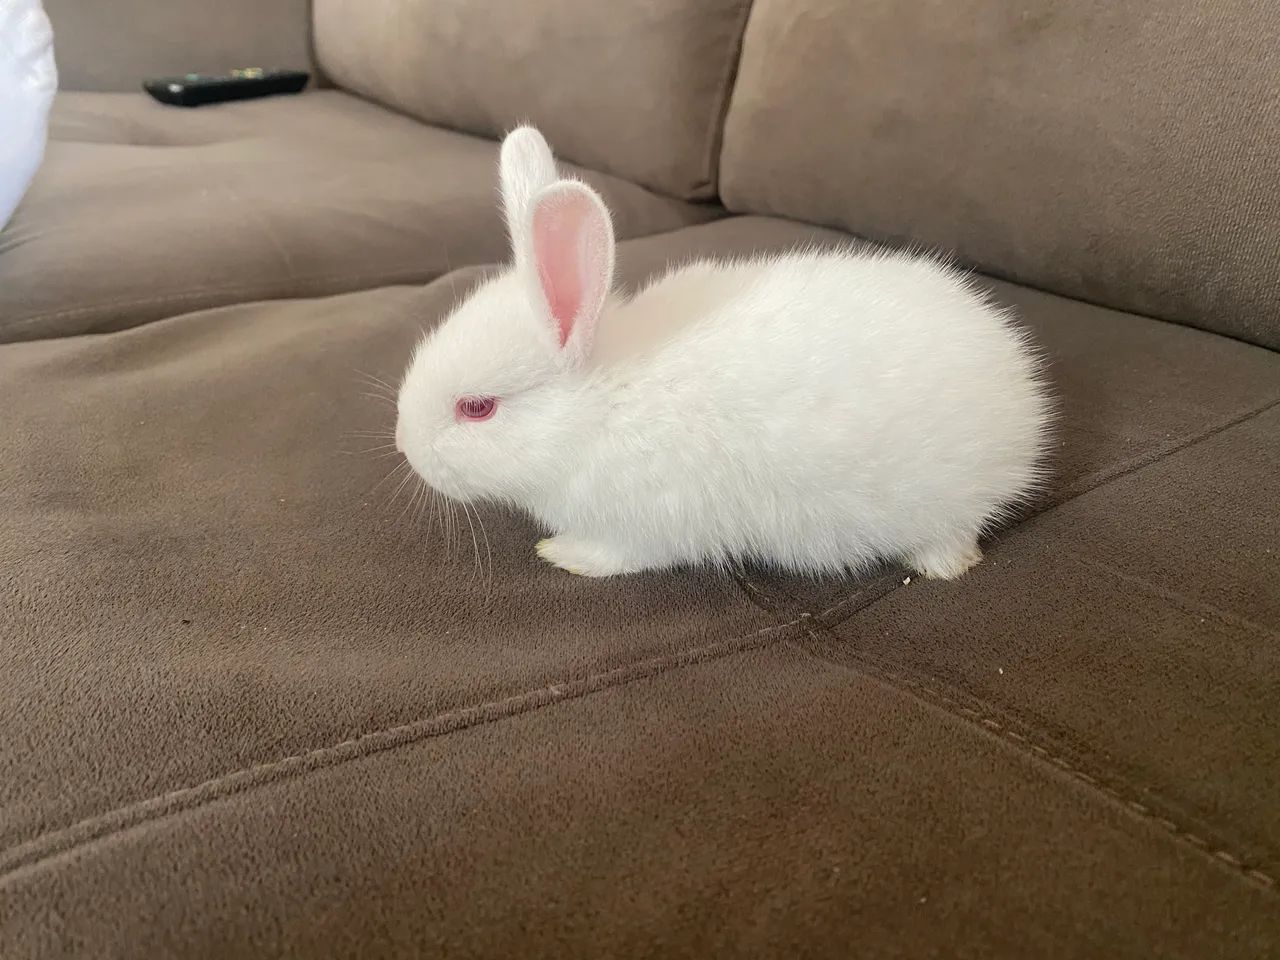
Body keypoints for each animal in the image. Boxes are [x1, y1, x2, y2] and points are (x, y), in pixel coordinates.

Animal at [395, 126, 1053, 580]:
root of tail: (1023, 395)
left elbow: (614, 555)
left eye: (477, 408)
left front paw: (562, 554)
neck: (597, 406)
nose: (405, 447)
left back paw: (941, 565)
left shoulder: (640, 525)